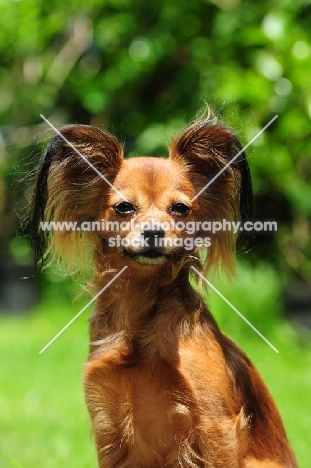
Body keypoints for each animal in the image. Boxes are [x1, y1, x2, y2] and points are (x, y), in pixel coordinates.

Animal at [30, 117, 298, 468]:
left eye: (181, 209)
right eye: (124, 207)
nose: (154, 232)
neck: (140, 311)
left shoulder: (216, 425)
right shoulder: (108, 427)